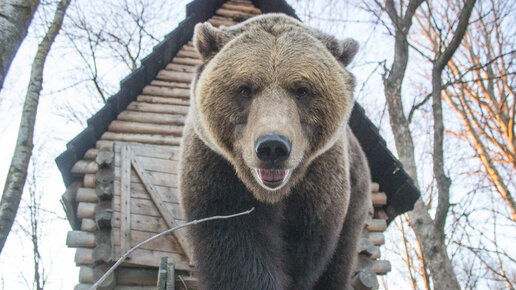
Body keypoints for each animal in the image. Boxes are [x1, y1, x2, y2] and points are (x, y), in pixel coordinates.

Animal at [180, 12, 370, 288]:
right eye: (245, 88)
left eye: (302, 90)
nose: (272, 147)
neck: (271, 194)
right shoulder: (216, 168)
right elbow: (233, 244)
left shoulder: (321, 182)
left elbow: (305, 251)